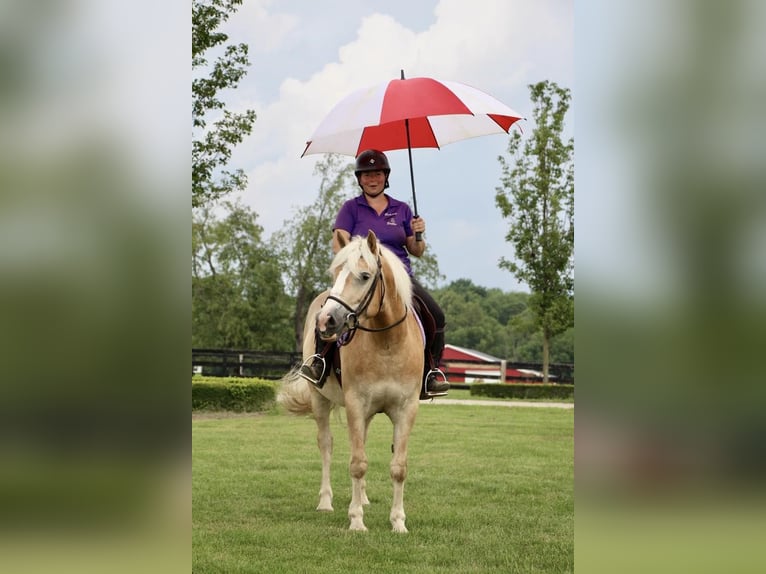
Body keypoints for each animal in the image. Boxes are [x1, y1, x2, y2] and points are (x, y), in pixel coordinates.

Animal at [280, 231, 426, 536]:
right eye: (336, 273)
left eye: (364, 275)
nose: (326, 320)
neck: (387, 344)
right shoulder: (355, 405)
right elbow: (358, 464)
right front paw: (357, 520)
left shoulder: (406, 409)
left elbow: (398, 467)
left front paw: (398, 522)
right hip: (320, 400)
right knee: (326, 445)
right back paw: (326, 502)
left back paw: (365, 497)